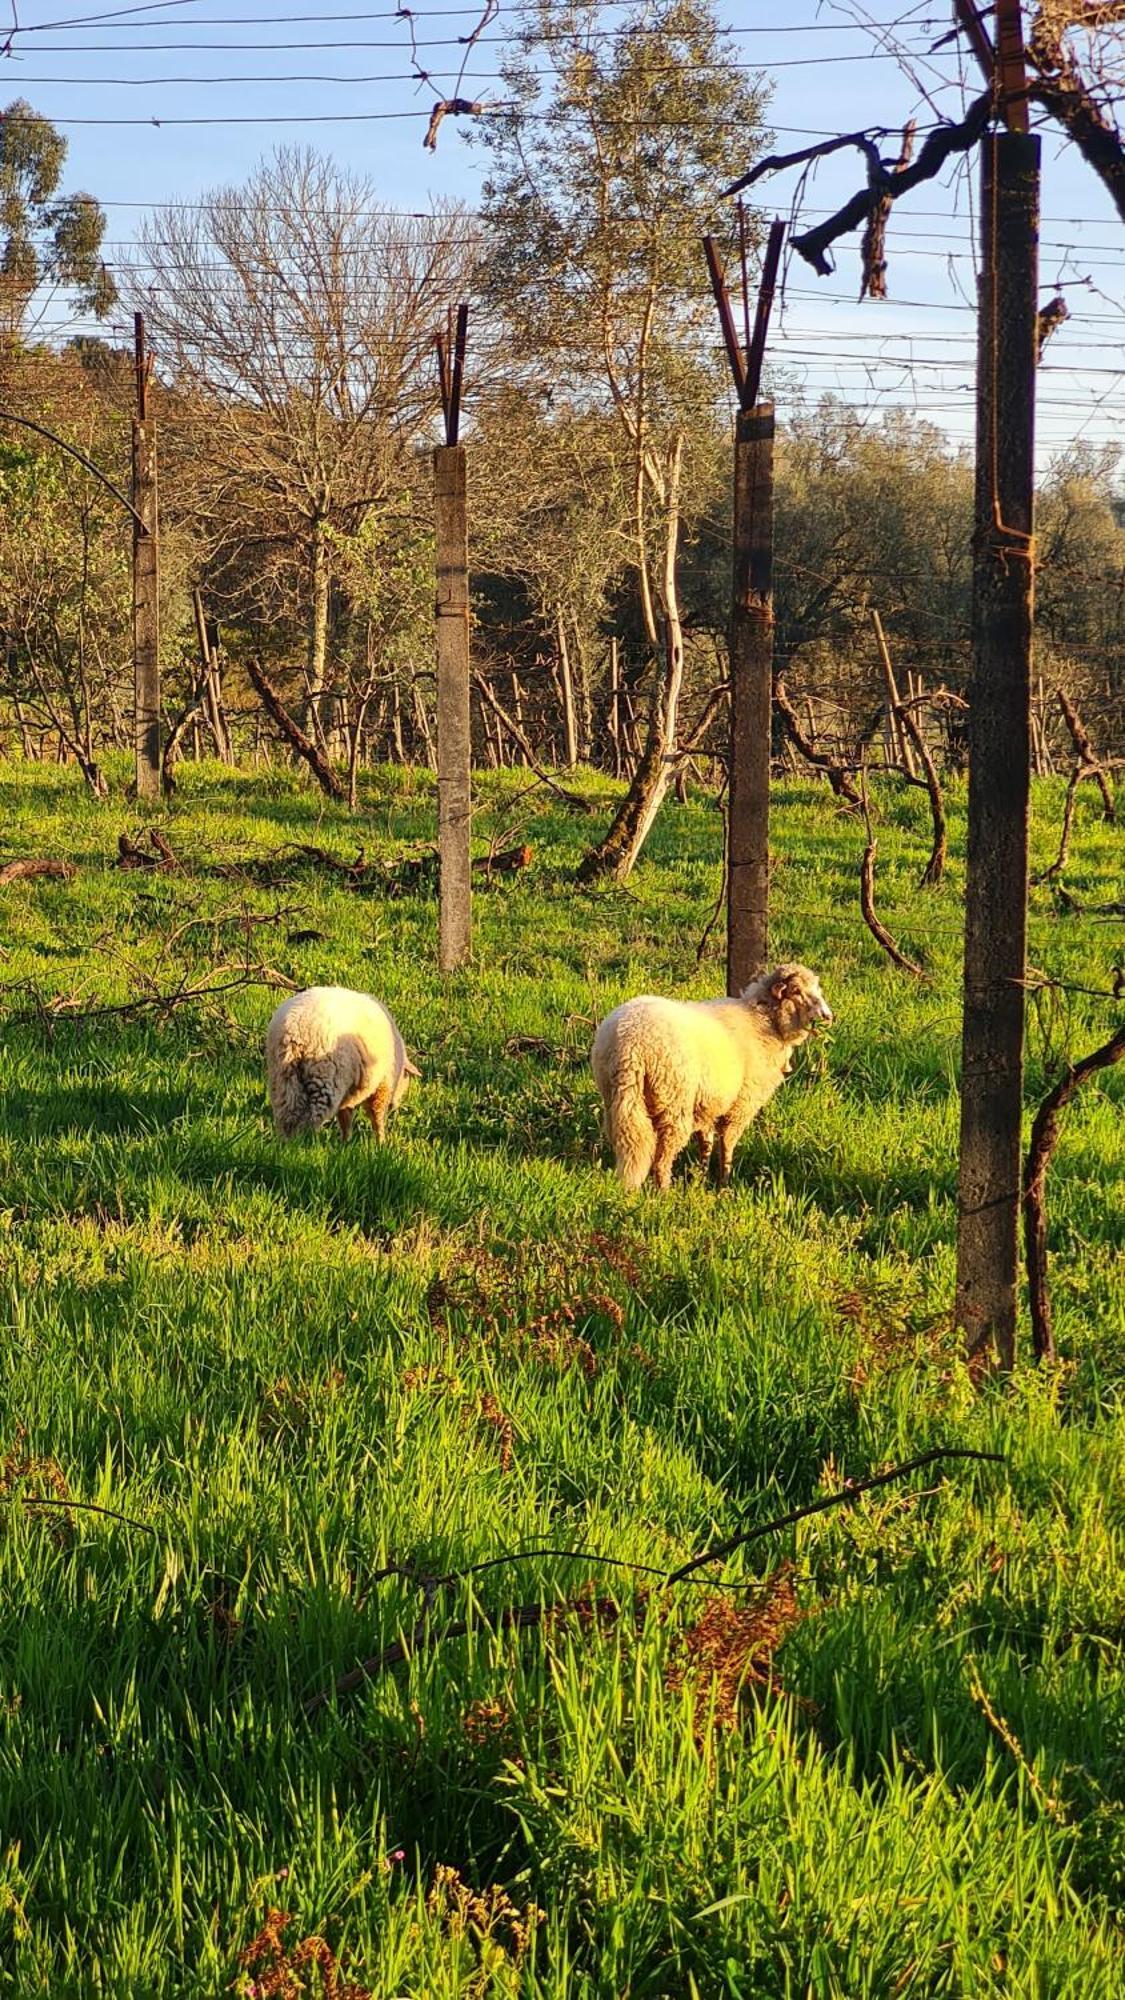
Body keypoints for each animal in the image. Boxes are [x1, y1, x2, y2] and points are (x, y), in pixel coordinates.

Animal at [264, 984, 418, 1144]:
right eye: (406, 1078)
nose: (395, 1106)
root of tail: (294, 1029)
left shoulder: (348, 1094)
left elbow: (345, 1117)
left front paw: (345, 1142)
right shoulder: (383, 1084)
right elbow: (377, 1116)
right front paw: (381, 1142)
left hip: (283, 1076)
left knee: (286, 1112)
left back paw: (286, 1143)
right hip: (323, 1077)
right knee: (311, 1118)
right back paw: (308, 1143)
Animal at [592, 964, 828, 1184]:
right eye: (796, 990)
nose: (828, 1016)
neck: (764, 1021)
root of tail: (629, 1043)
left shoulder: (708, 1103)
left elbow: (705, 1141)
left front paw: (701, 1176)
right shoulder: (741, 1104)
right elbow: (727, 1142)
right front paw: (724, 1181)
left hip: (616, 1098)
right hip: (673, 1100)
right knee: (663, 1157)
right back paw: (664, 1191)